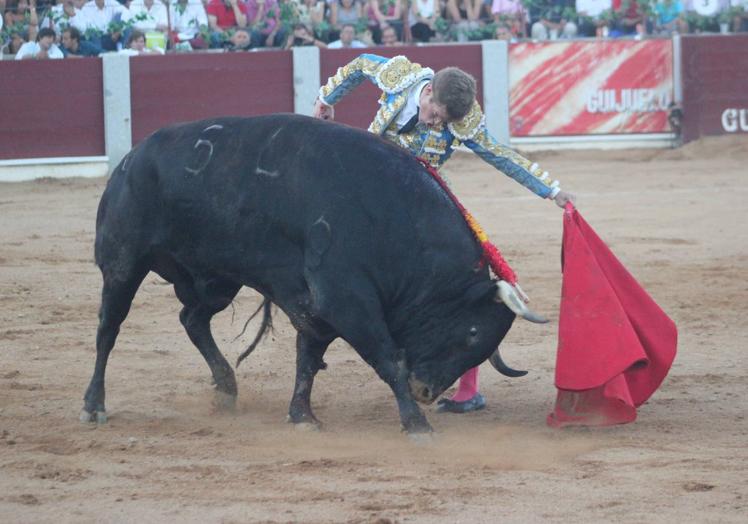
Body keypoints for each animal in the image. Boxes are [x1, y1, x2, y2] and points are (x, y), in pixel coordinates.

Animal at [82, 115, 524, 434]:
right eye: (471, 333)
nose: (426, 391)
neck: (391, 219)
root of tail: (130, 159)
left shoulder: (314, 305)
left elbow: (308, 359)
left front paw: (302, 417)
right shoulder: (345, 301)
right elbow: (387, 358)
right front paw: (416, 424)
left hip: (216, 280)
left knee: (192, 319)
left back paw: (226, 389)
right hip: (123, 264)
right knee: (108, 329)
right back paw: (93, 405)